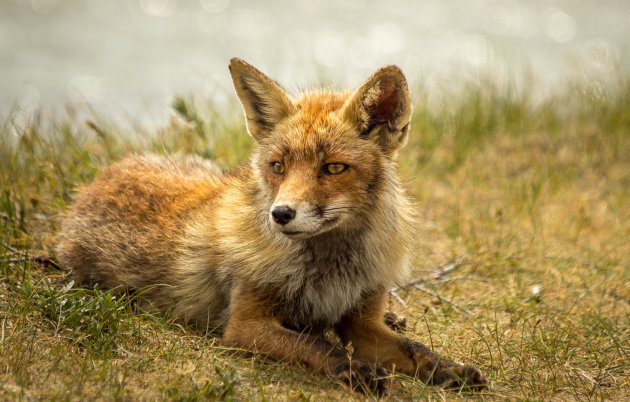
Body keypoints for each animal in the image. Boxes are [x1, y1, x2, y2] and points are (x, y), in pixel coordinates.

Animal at [55, 58, 488, 394]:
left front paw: (452, 371)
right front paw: (357, 371)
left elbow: (416, 350)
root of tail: (91, 185)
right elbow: (319, 347)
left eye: (333, 168)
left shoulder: (362, 322)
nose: (280, 214)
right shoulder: (245, 325)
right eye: (278, 166)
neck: (330, 271)